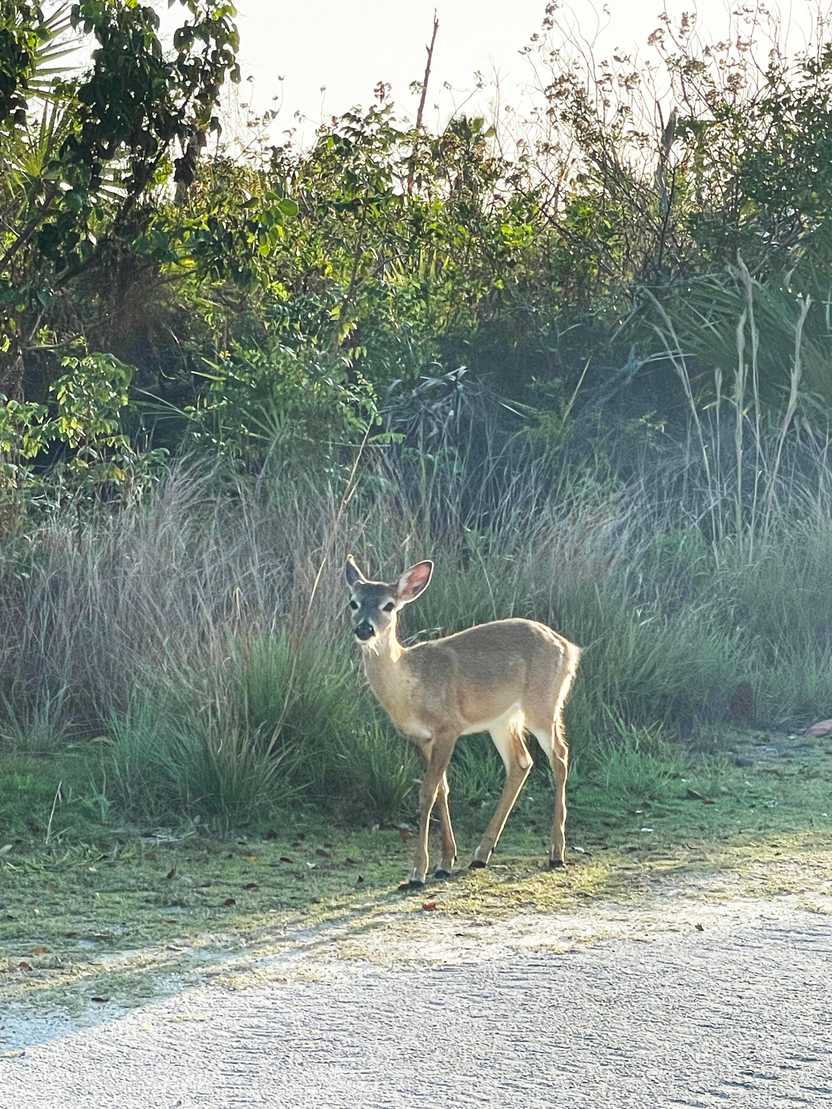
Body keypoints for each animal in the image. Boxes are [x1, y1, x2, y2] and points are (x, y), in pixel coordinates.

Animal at [344, 556, 581, 890]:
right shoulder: (421, 737)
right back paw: (481, 853)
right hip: (502, 720)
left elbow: (428, 792)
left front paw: (418, 871)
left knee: (559, 756)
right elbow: (442, 788)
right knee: (521, 762)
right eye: (353, 602)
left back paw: (556, 852)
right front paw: (446, 862)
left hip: (543, 703)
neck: (412, 684)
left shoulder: (449, 726)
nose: (364, 629)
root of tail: (570, 648)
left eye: (388, 605)